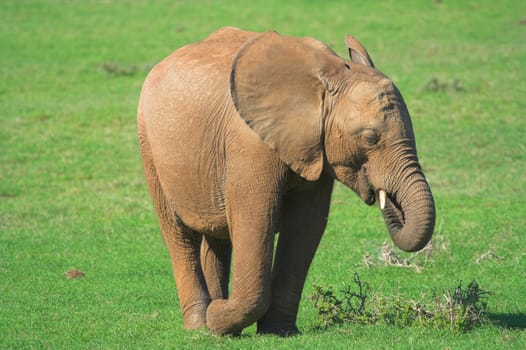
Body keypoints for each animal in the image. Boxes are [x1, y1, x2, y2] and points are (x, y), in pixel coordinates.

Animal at [137, 27, 438, 336]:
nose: (382, 195)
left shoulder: (316, 149)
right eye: (369, 138)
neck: (326, 77)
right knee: (178, 233)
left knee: (217, 238)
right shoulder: (250, 143)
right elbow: (255, 221)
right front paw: (217, 319)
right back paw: (199, 324)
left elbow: (306, 225)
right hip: (149, 144)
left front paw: (277, 331)